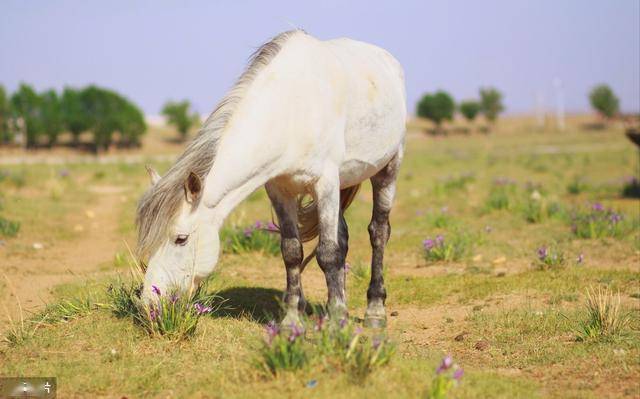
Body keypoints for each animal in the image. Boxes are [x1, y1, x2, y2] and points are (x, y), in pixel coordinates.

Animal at [136, 30, 404, 328]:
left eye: (180, 239)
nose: (150, 303)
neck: (291, 111)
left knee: (378, 233)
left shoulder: (325, 185)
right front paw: (292, 321)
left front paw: (337, 322)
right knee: (342, 238)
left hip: (388, 169)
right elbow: (292, 252)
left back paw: (375, 311)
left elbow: (328, 253)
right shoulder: (280, 191)